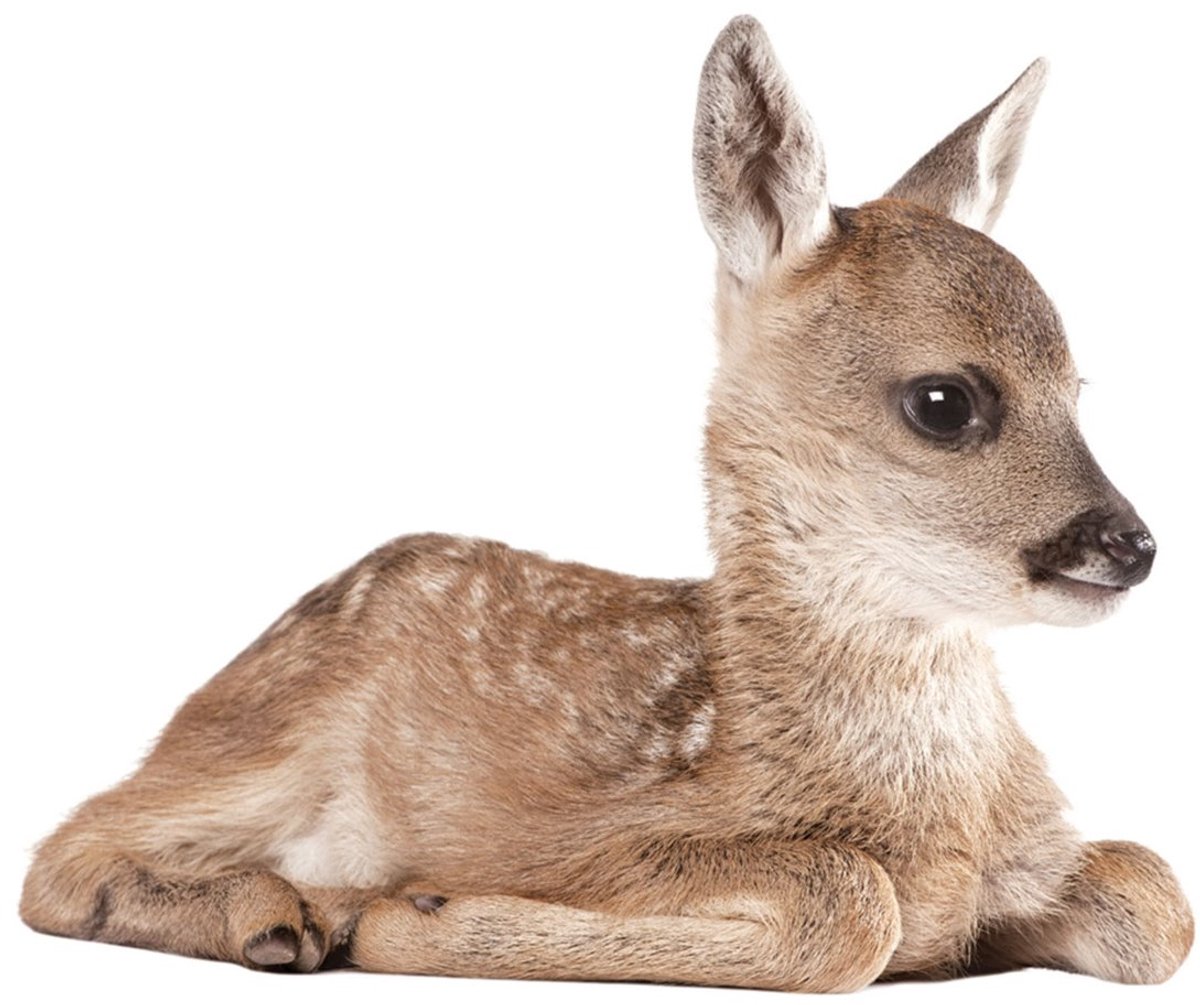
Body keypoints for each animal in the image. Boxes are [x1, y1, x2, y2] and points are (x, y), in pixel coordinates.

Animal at [19, 15, 1193, 992]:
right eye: (945, 401)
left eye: (1077, 387)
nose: (1131, 544)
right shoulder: (597, 837)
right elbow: (853, 902)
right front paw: (411, 912)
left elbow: (1156, 894)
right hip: (266, 737)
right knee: (60, 855)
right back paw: (282, 914)